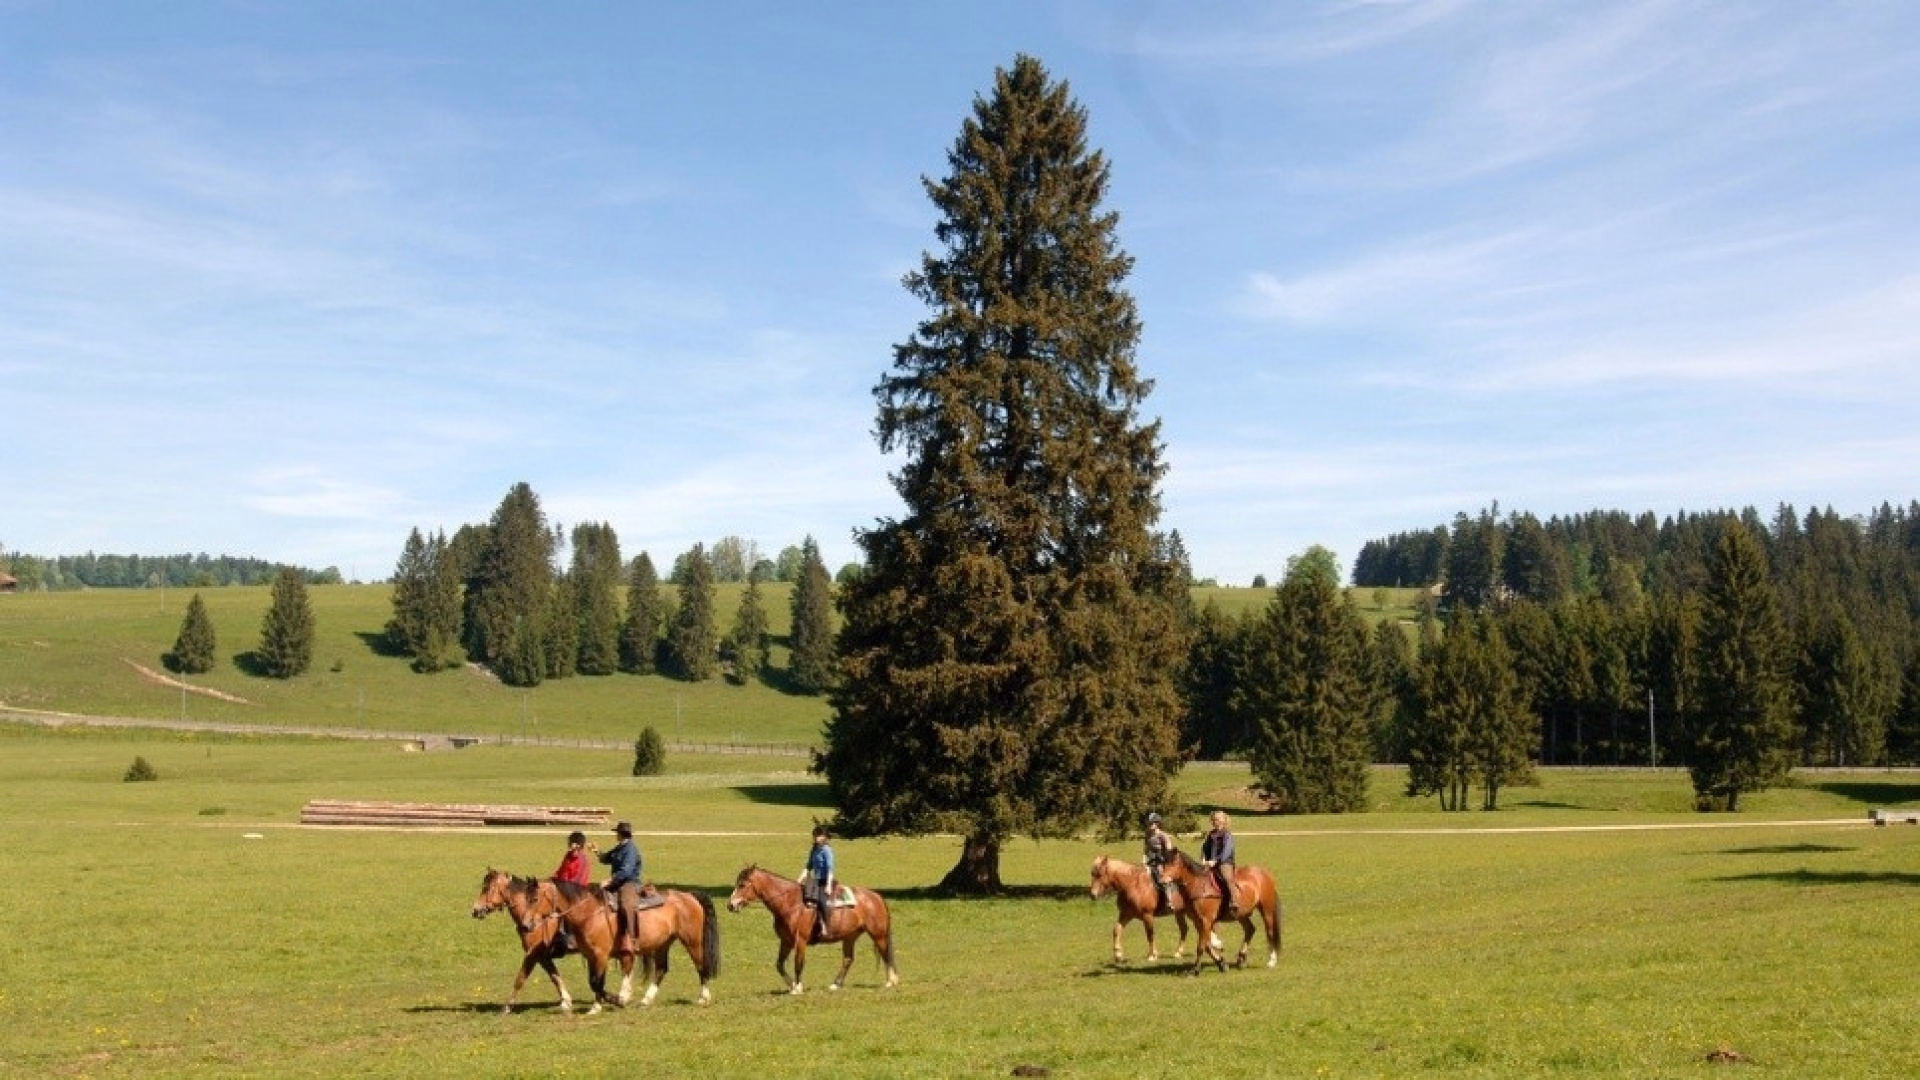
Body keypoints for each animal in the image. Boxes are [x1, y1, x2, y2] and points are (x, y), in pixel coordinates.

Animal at [471, 868, 580, 1014]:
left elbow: (520, 979)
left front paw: (507, 1007)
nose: (475, 910)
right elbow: (554, 976)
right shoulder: (542, 957)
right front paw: (566, 1001)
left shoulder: (532, 955)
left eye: (486, 888)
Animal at [522, 878, 720, 1010]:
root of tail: (689, 896)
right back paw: (646, 1000)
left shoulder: (601, 955)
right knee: (661, 970)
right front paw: (598, 1006)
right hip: (663, 944)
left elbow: (597, 982)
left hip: (693, 941)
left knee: (701, 966)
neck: (590, 913)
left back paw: (704, 997)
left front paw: (618, 999)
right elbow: (594, 981)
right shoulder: (592, 956)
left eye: (534, 899)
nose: (525, 925)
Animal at [726, 864, 898, 994]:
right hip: (850, 937)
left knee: (885, 954)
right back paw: (836, 984)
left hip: (878, 935)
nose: (730, 905)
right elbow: (779, 964)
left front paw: (798, 988)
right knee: (848, 959)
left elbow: (798, 963)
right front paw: (792, 986)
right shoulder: (786, 941)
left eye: (742, 884)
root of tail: (876, 896)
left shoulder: (800, 940)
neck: (791, 904)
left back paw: (891, 981)